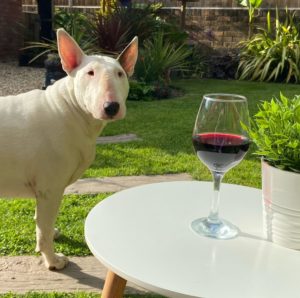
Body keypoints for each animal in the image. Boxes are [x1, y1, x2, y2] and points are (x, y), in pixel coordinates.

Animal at [0, 28, 138, 270]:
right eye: (90, 73)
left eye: (120, 74)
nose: (111, 107)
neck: (69, 109)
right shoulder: (50, 189)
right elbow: (43, 230)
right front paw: (53, 260)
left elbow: (43, 223)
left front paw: (52, 234)